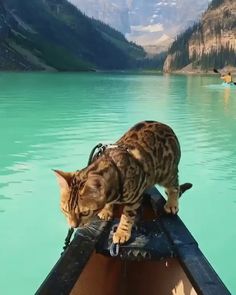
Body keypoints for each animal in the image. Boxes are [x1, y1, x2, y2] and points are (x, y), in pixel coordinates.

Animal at [54, 120, 182, 245]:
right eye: (65, 210)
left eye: (85, 213)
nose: (73, 225)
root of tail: (166, 126)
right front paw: (106, 210)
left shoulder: (134, 199)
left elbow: (127, 217)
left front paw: (122, 233)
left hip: (167, 172)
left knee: (175, 186)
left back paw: (172, 204)